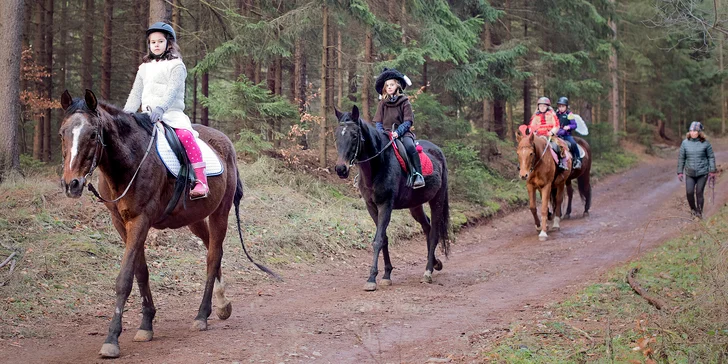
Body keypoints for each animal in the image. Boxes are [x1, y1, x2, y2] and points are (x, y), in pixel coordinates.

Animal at [58, 90, 276, 358]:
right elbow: (141, 272)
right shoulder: (121, 223)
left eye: (92, 135)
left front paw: (112, 339)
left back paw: (202, 315)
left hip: (220, 212)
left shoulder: (141, 220)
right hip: (194, 219)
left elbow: (124, 279)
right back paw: (223, 304)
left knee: (213, 256)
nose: (72, 184)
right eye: (62, 133)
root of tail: (225, 142)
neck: (130, 160)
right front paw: (146, 324)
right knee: (213, 249)